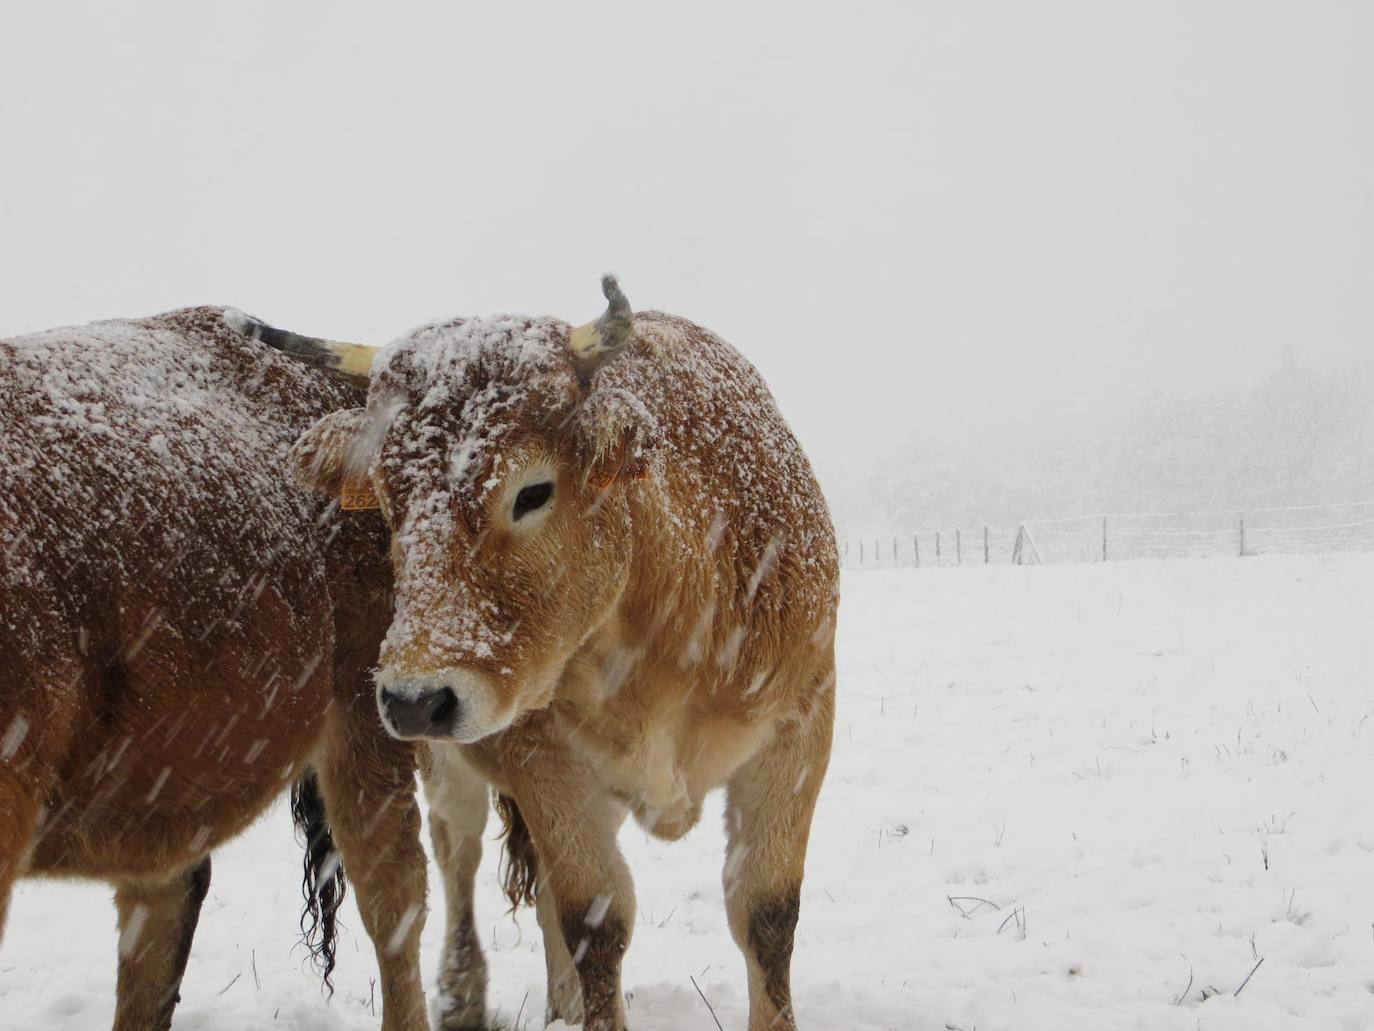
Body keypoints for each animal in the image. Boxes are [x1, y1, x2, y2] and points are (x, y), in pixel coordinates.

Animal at [269, 280, 835, 1031]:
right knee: (458, 855)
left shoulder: (798, 730)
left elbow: (766, 912)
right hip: (450, 763)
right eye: (390, 501)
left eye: (532, 491)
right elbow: (595, 916)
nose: (415, 699)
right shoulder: (546, 766)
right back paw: (463, 990)